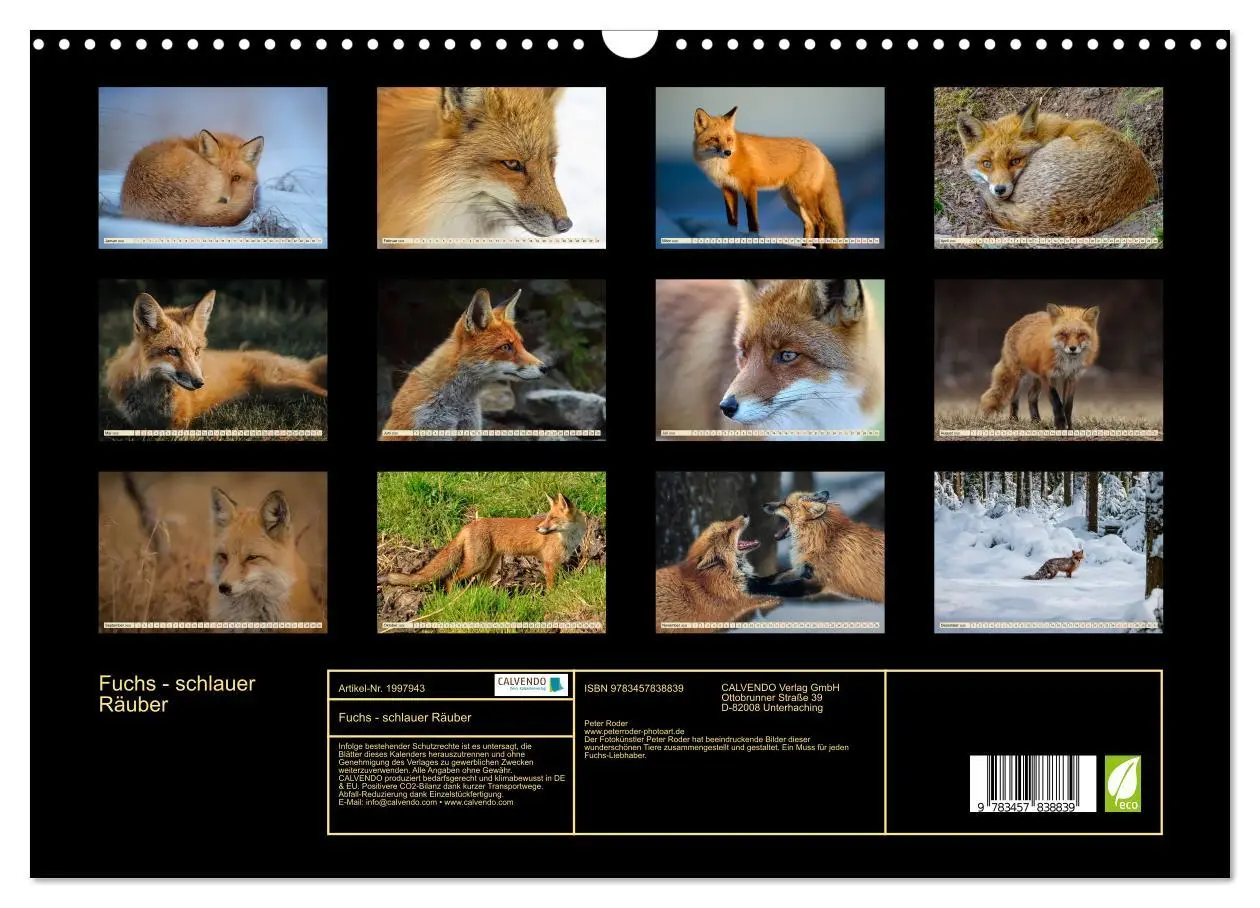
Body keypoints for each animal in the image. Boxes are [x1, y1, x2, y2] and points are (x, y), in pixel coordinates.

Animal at [103, 291, 328, 430]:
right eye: (172, 351)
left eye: (196, 351)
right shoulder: (133, 421)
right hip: (280, 392)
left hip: (282, 384)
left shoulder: (179, 422)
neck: (151, 397)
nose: (200, 383)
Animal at [379, 493, 586, 593]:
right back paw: (453, 598)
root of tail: (471, 523)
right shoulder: (550, 563)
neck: (568, 537)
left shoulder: (556, 563)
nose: (538, 529)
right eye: (547, 517)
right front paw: (551, 598)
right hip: (477, 563)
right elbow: (551, 587)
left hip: (489, 566)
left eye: (553, 518)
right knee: (449, 579)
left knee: (479, 585)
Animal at [655, 515, 817, 633]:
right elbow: (777, 591)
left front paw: (802, 571)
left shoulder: (751, 583)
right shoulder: (742, 599)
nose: (745, 514)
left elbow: (776, 577)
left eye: (727, 523)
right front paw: (803, 588)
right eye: (728, 531)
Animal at [693, 106, 846, 247]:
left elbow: (752, 220)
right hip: (792, 201)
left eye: (729, 139)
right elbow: (731, 219)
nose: (727, 152)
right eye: (714, 139)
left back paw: (816, 245)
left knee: (820, 221)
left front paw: (754, 239)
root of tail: (819, 150)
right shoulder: (728, 189)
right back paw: (805, 246)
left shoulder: (749, 188)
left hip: (802, 196)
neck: (721, 165)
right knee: (809, 224)